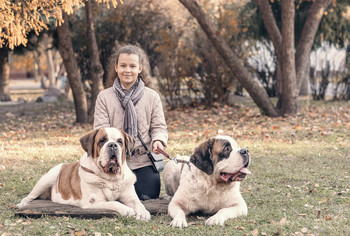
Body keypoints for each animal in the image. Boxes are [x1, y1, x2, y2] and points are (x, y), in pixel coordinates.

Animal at [16, 128, 150, 220]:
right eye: (102, 140)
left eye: (120, 141)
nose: (113, 145)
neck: (110, 178)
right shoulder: (93, 202)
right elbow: (114, 202)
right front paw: (127, 210)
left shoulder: (130, 196)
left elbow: (137, 202)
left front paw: (143, 212)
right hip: (46, 179)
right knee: (30, 196)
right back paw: (23, 204)